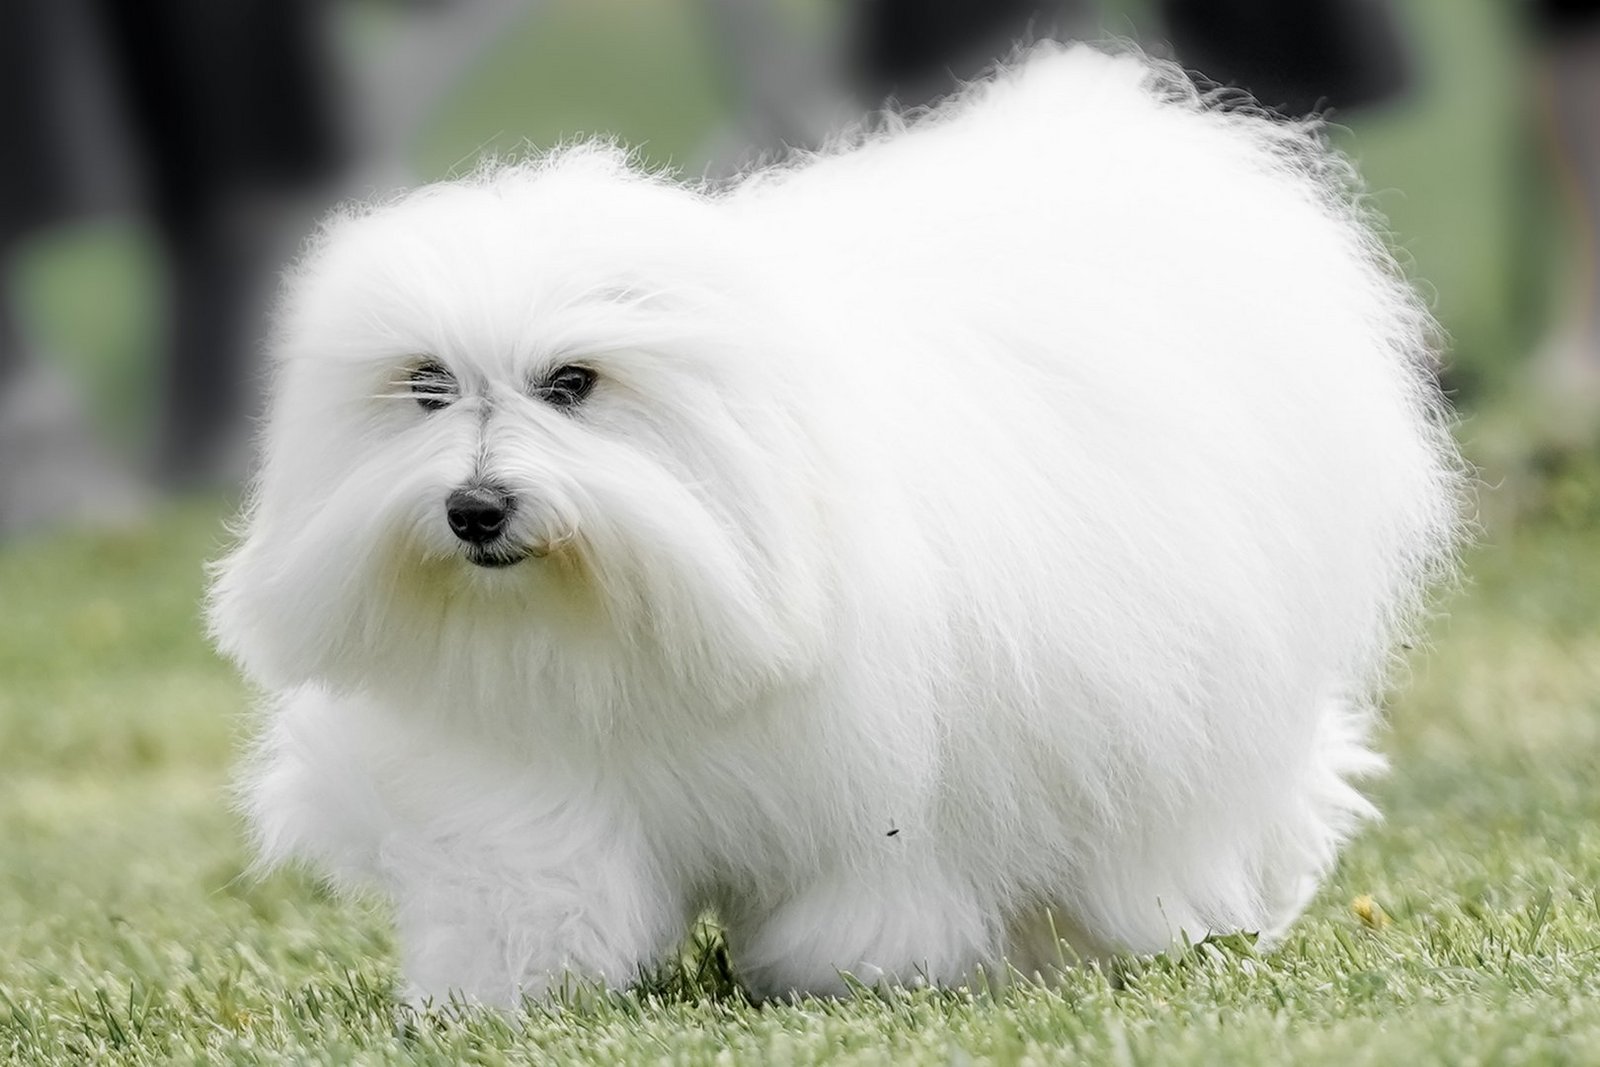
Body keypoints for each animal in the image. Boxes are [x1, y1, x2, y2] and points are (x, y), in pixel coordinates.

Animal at [210, 43, 1464, 1007]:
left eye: (571, 383)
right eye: (426, 387)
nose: (475, 509)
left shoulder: (889, 777)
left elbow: (873, 887)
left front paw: (849, 972)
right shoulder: (524, 767)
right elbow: (533, 878)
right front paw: (504, 988)